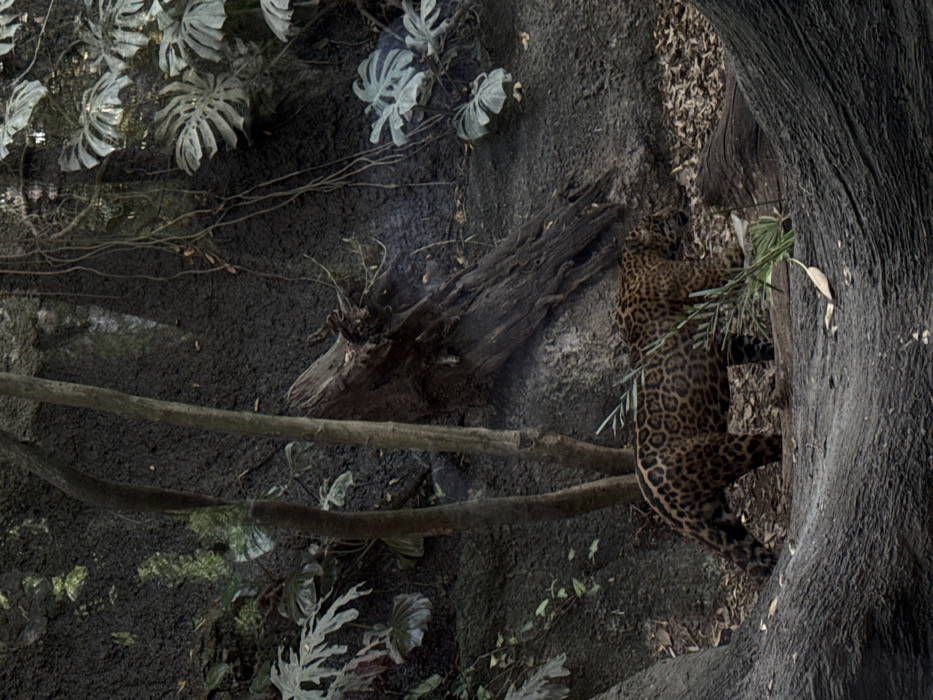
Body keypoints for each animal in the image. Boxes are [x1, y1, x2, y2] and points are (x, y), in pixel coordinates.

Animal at [617, 210, 782, 582]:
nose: (678, 212)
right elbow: (728, 256)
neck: (634, 257)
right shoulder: (700, 275)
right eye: (657, 216)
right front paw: (759, 227)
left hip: (720, 520)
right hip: (725, 450)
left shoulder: (723, 345)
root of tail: (664, 506)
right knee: (768, 446)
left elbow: (752, 346)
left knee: (754, 558)